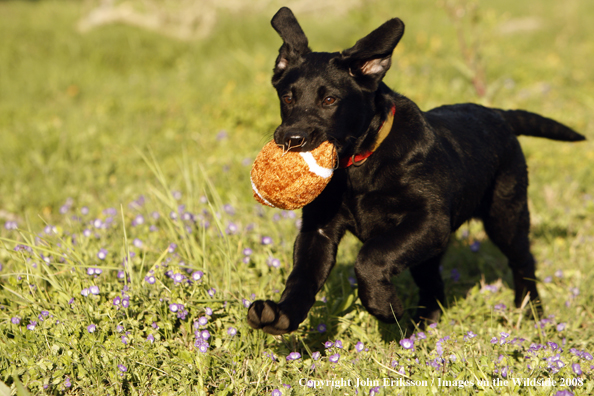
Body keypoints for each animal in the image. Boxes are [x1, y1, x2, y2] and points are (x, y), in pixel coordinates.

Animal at [245, 6, 584, 334]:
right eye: (287, 97)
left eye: (330, 99)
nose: (292, 139)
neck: (359, 165)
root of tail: (498, 114)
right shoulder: (319, 229)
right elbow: (302, 277)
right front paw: (282, 315)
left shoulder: (429, 222)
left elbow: (370, 257)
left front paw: (385, 307)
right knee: (433, 282)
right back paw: (422, 326)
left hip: (505, 215)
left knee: (523, 261)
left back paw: (531, 313)